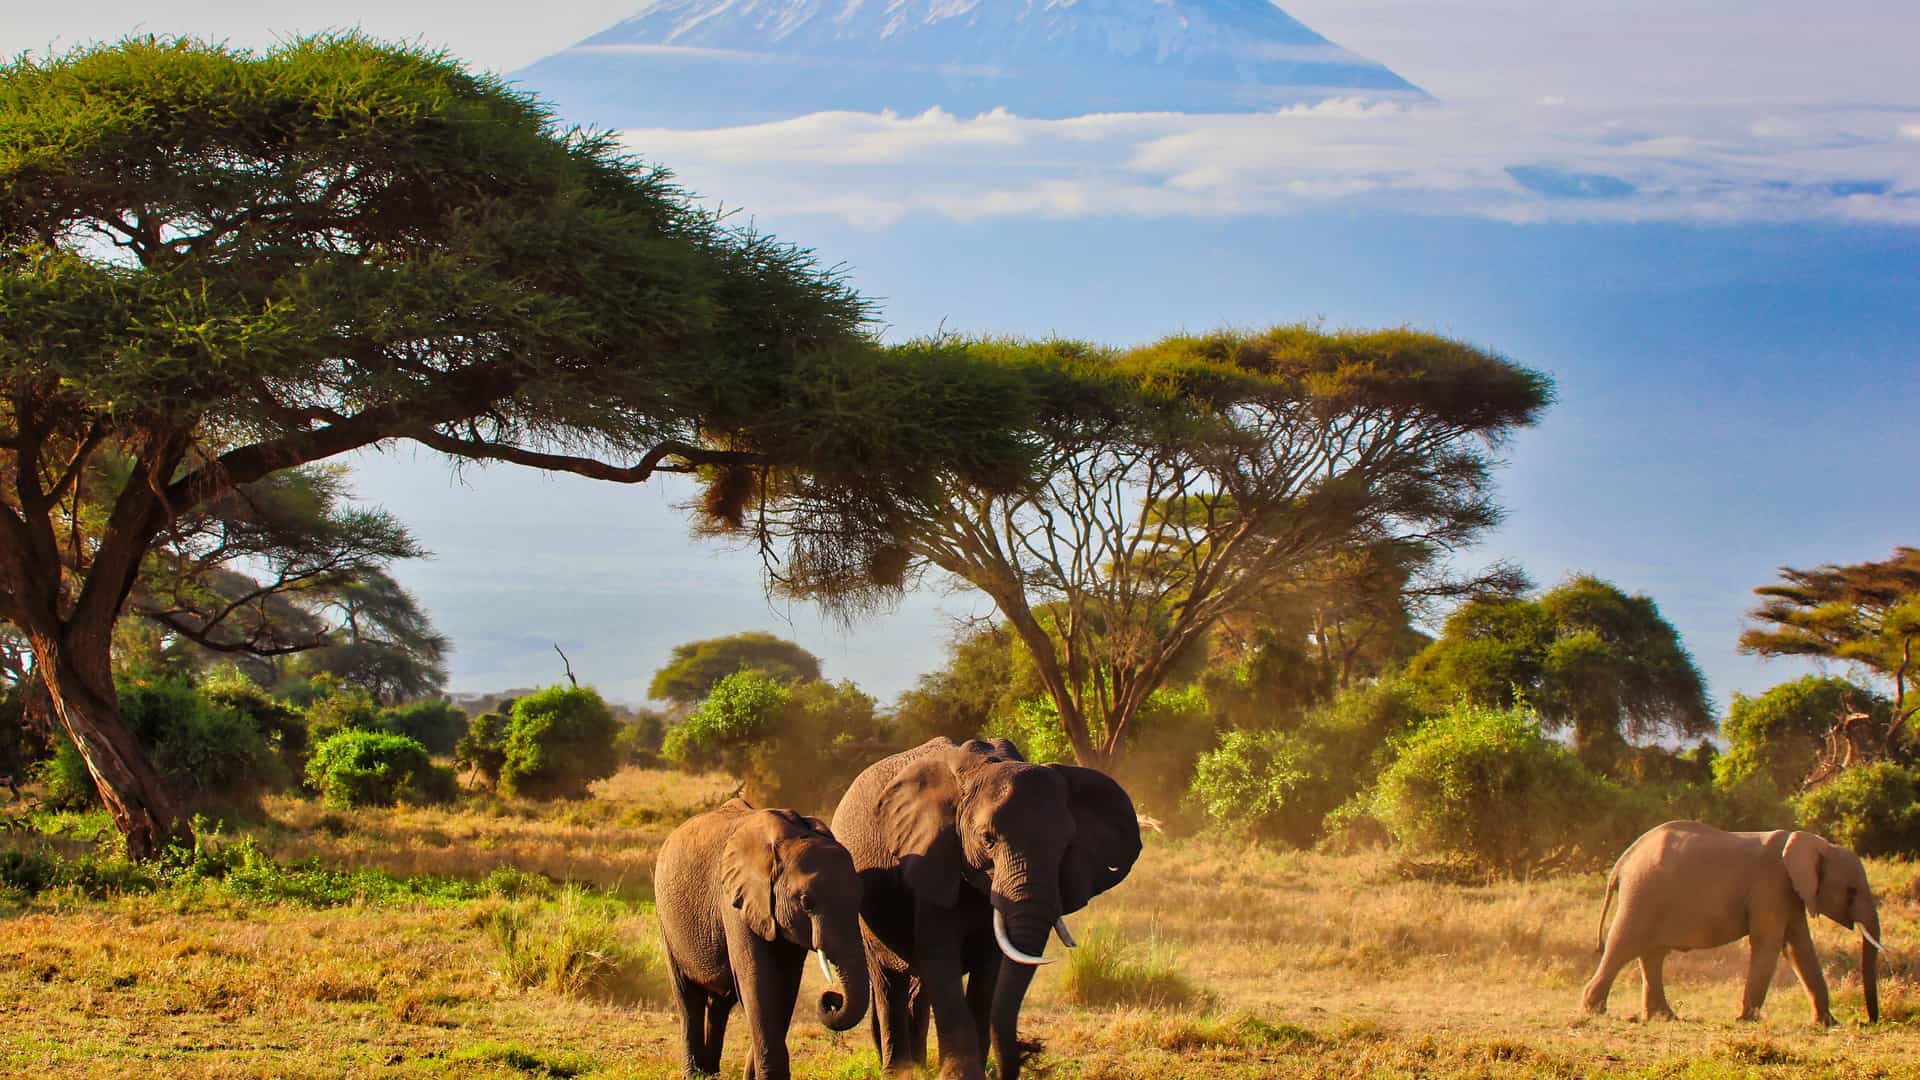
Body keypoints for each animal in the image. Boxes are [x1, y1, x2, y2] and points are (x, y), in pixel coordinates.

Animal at [655, 798, 870, 1079]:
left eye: (860, 898)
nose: (831, 999)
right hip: (666, 921)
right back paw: (696, 1074)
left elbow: (785, 985)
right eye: (806, 903)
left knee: (720, 1003)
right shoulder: (734, 902)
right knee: (688, 999)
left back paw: (711, 1074)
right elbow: (758, 981)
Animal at [830, 737, 1142, 1080]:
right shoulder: (931, 858)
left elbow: (988, 970)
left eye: (1066, 845)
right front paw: (960, 1075)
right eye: (988, 839)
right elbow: (941, 959)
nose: (1030, 1050)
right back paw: (899, 1072)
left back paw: (919, 1066)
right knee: (888, 981)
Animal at [1583, 820, 1883, 1025]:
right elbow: (1769, 944)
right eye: (1851, 892)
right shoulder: (1771, 886)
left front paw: (1828, 1024)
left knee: (1652, 954)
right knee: (1623, 945)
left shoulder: (1791, 894)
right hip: (1642, 893)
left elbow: (1799, 947)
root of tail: (1623, 862)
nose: (1868, 1021)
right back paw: (1593, 1010)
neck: (1817, 844)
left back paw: (1664, 1017)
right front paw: (1746, 1020)